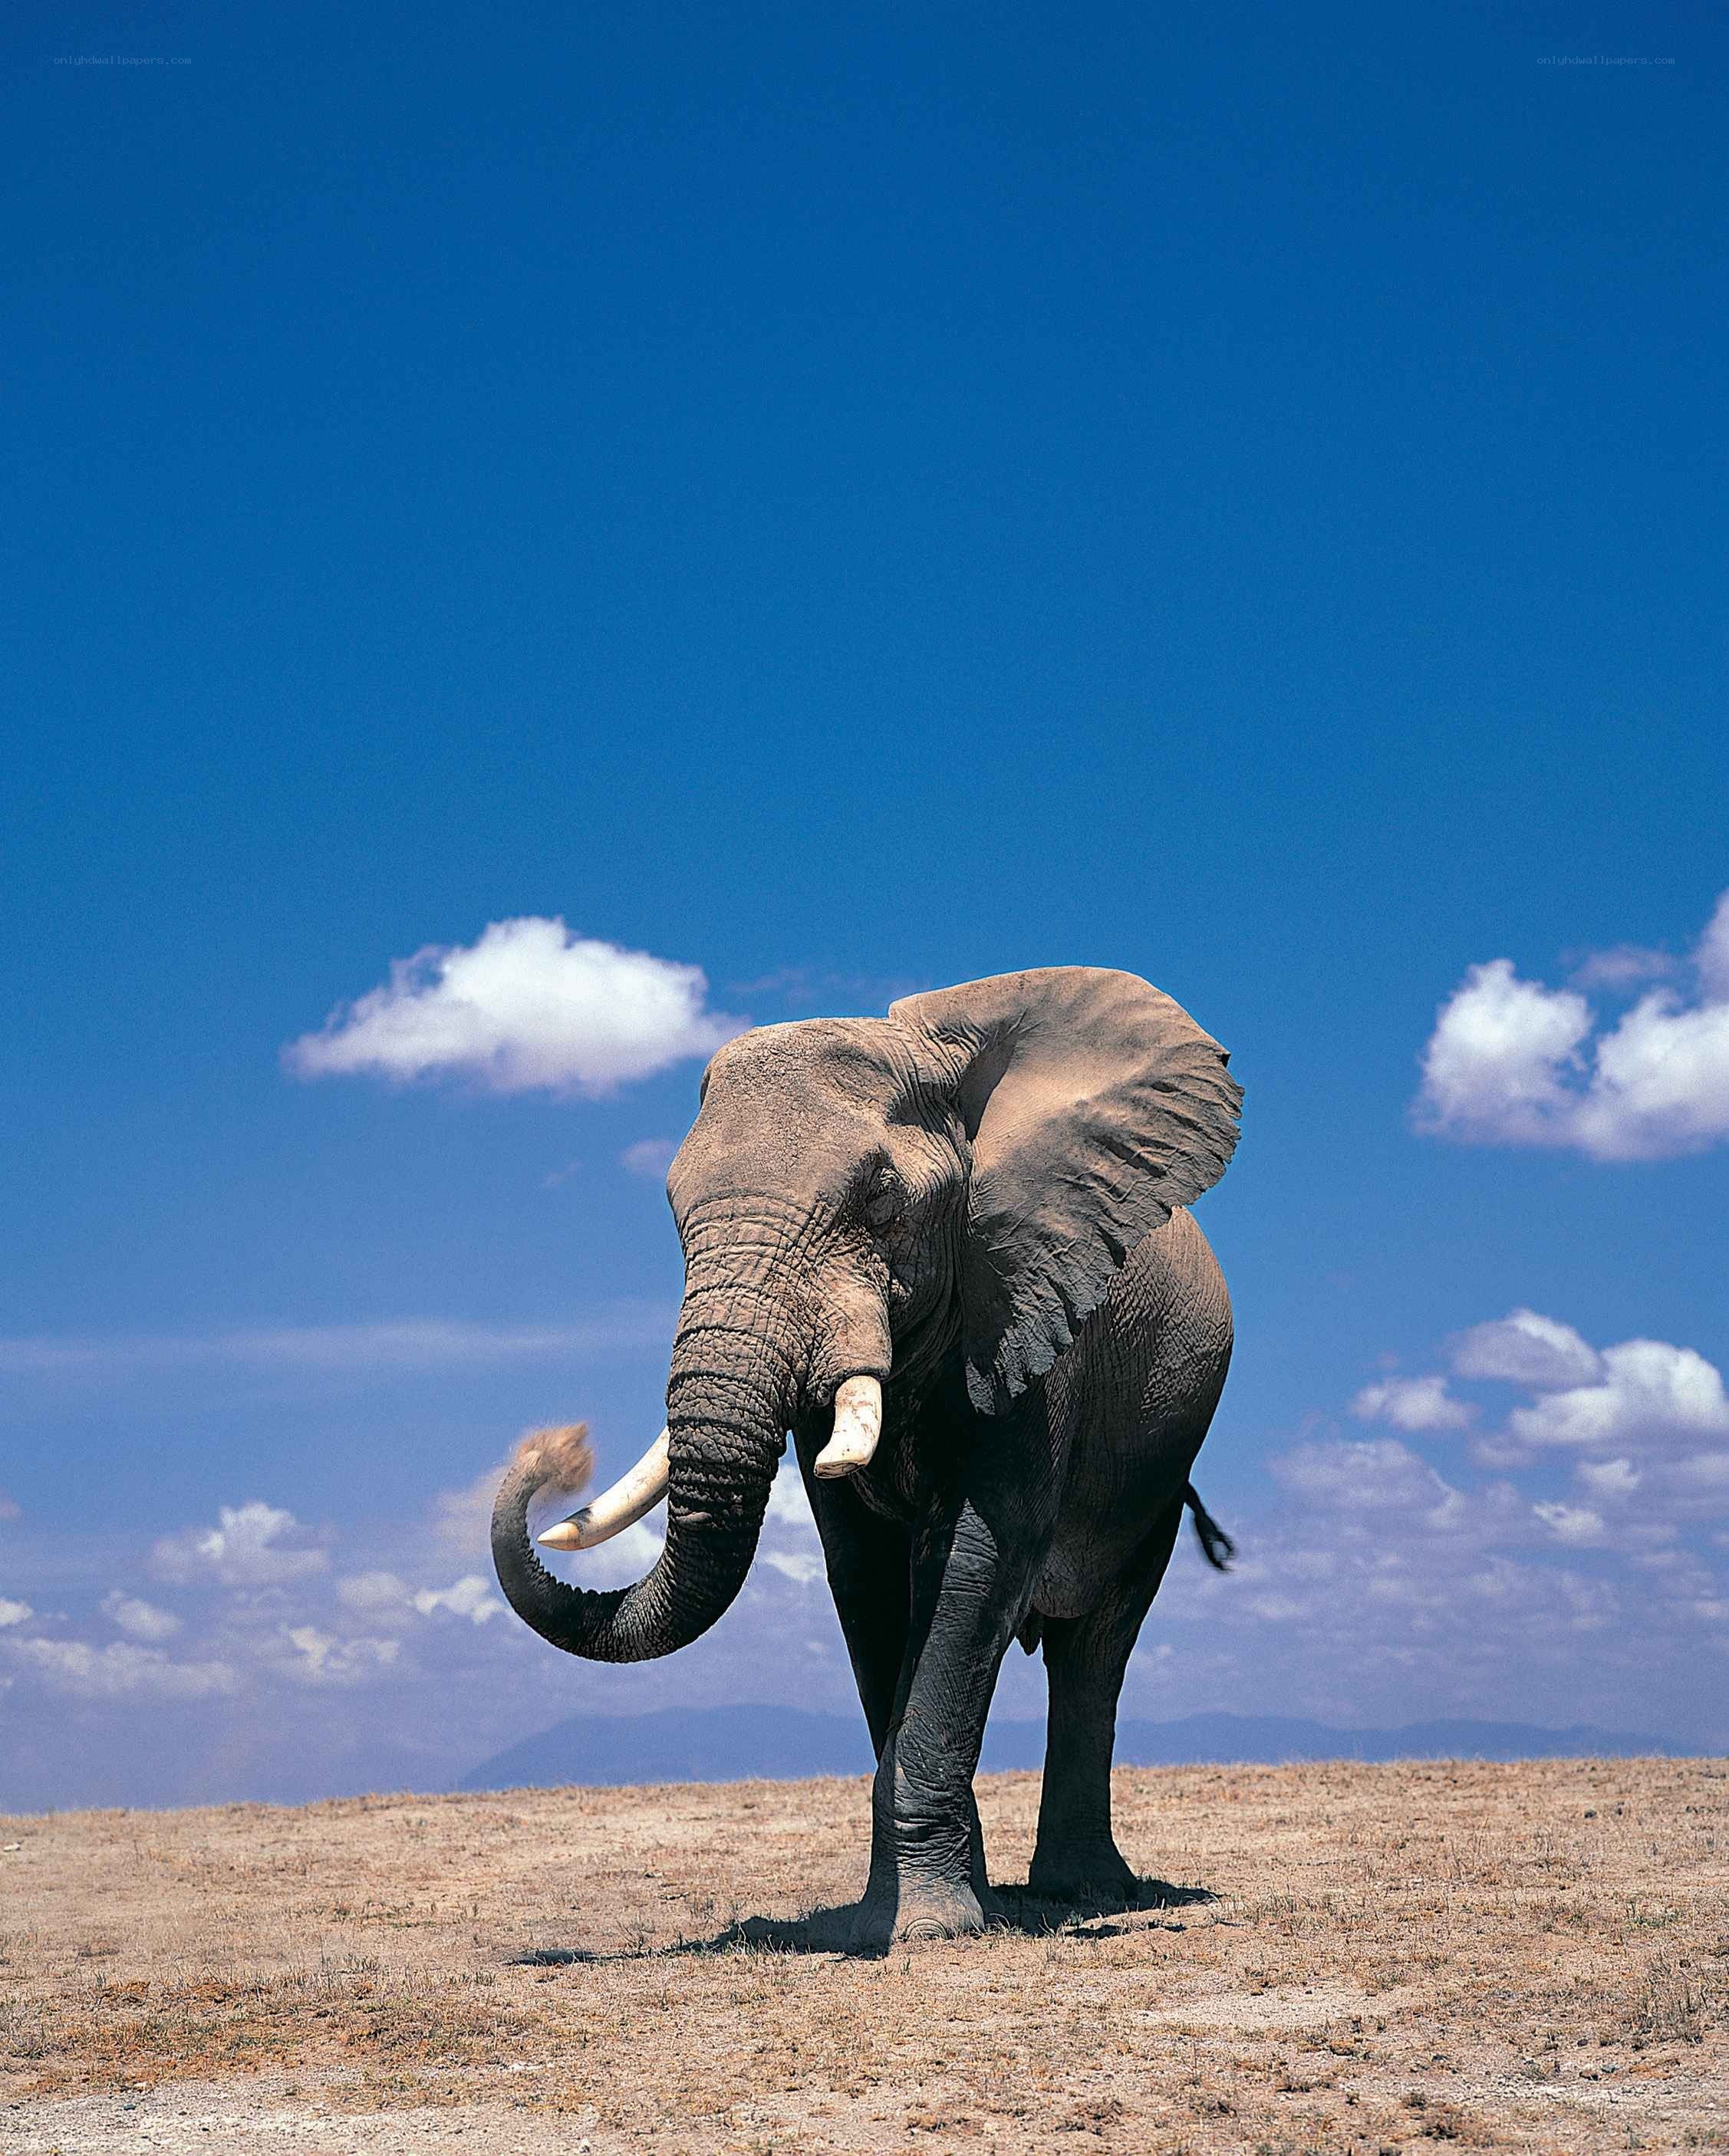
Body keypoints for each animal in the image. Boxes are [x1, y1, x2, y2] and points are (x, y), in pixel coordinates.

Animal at [491, 966, 1241, 1948]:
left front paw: (929, 1931)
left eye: (882, 1199)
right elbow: (867, 1578)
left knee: (1095, 1647)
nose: (557, 1451)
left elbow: (974, 1561)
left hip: (1158, 1459)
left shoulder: (1029, 1306)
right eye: (672, 1209)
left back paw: (1084, 1893)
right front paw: (892, 1922)